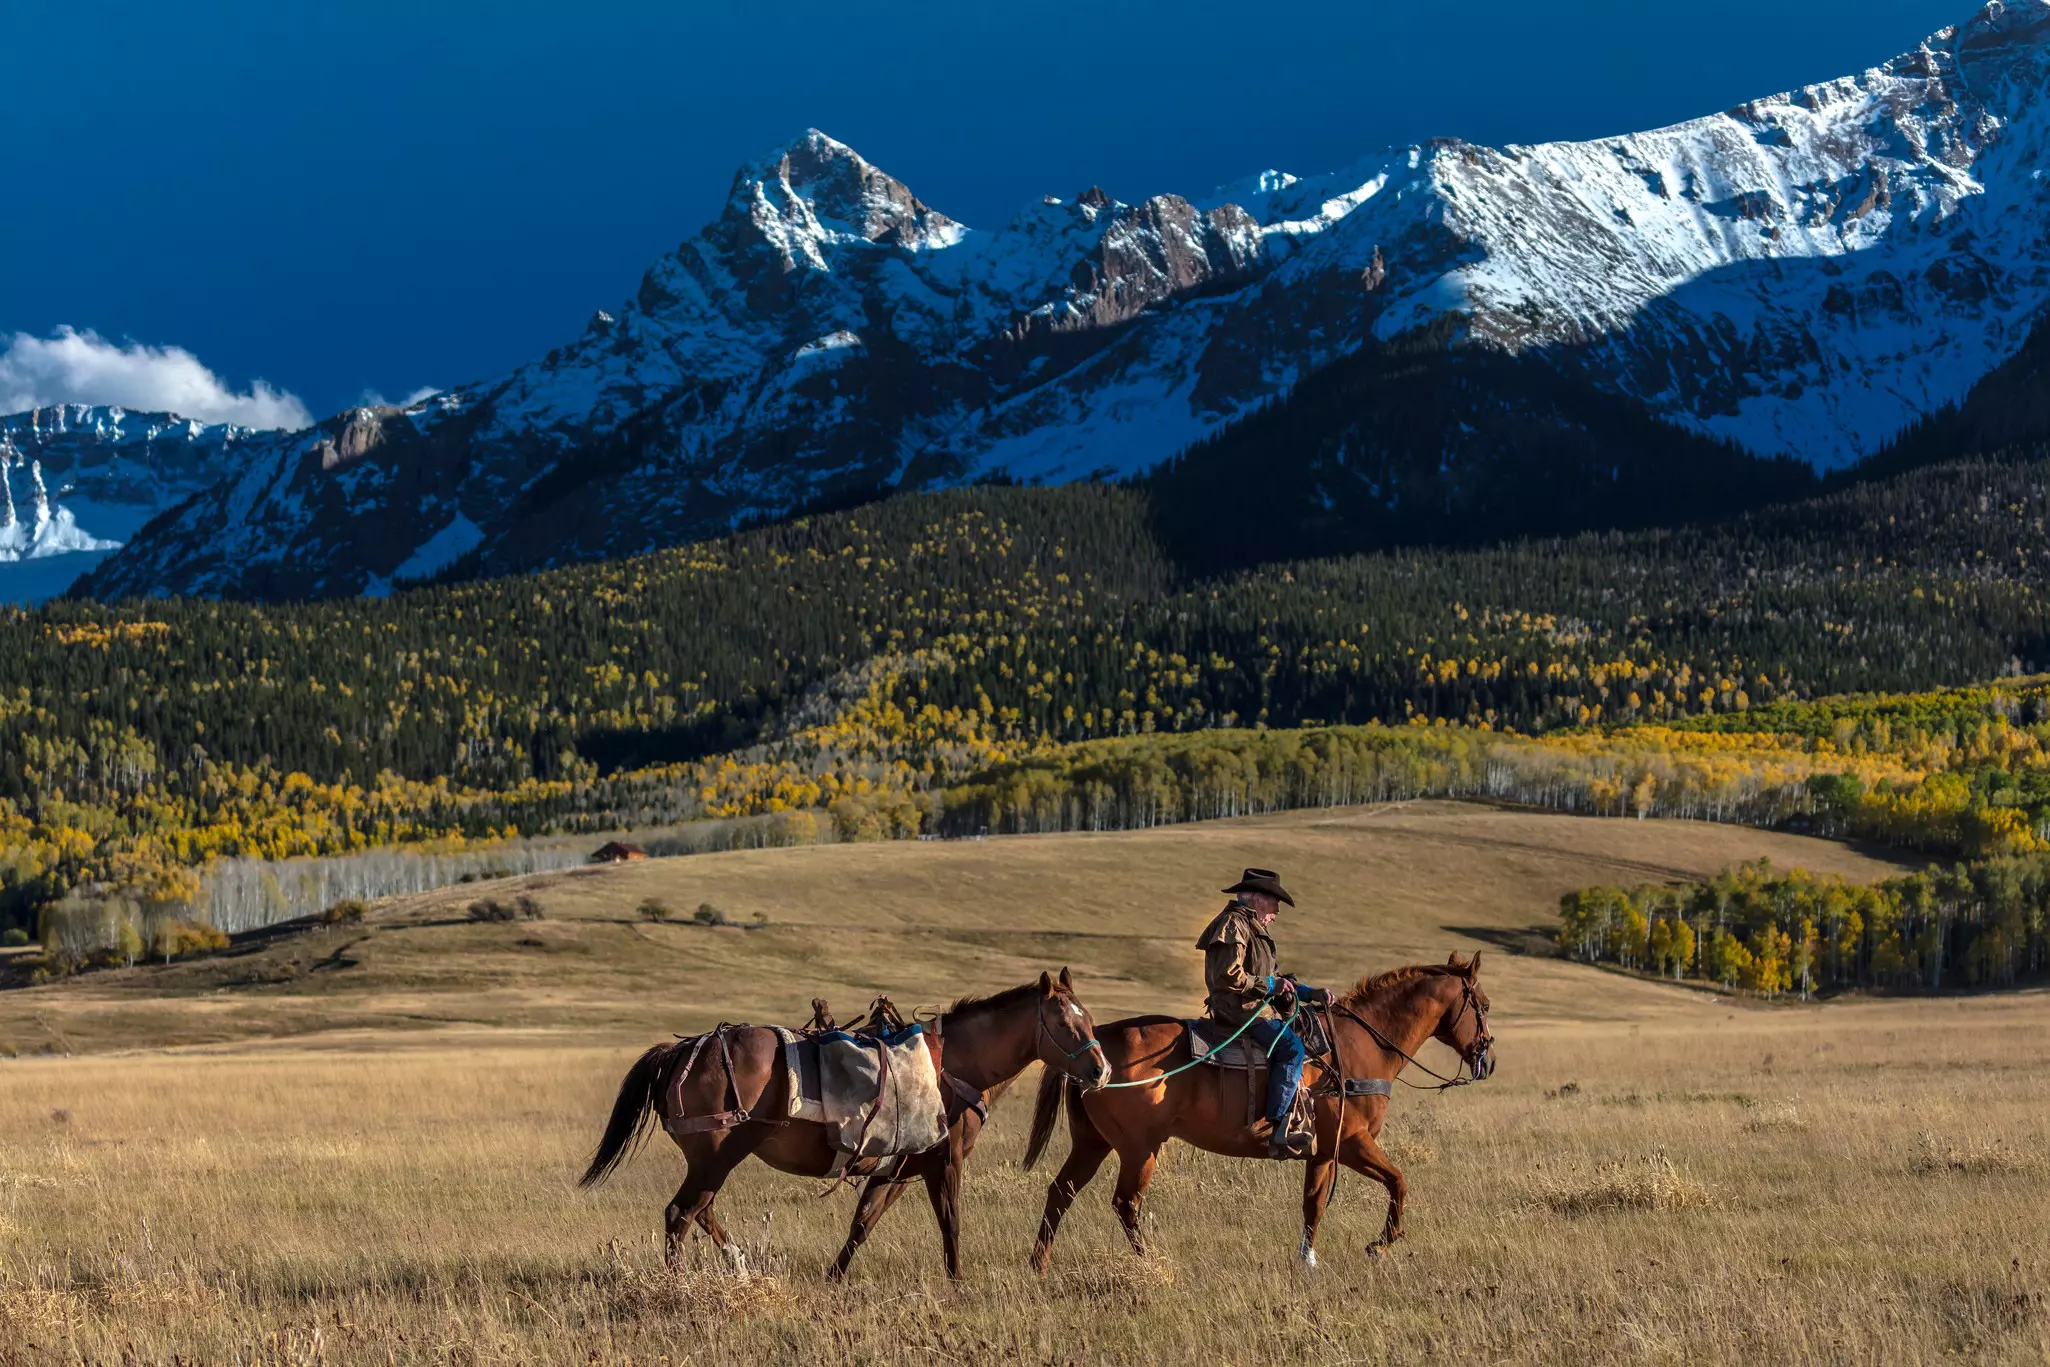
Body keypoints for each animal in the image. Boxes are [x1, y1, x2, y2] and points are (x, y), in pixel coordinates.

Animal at [580, 968, 1110, 1280]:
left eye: (1089, 1017)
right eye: (1063, 1023)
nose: (1101, 1070)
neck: (953, 1063)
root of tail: (686, 1050)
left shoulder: (900, 1169)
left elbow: (863, 1223)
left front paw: (834, 1278)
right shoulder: (945, 1161)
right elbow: (952, 1225)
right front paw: (958, 1283)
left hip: (714, 1161)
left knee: (700, 1211)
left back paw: (740, 1264)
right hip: (717, 1157)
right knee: (681, 1214)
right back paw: (680, 1283)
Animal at [1024, 952, 1493, 1271]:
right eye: (1484, 1005)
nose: (1487, 1060)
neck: (1361, 1046)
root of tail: (1097, 1041)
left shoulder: (1322, 1153)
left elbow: (1313, 1205)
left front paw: (1308, 1260)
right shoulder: (1352, 1143)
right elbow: (1398, 1182)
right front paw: (1379, 1244)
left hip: (1093, 1143)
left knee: (1061, 1192)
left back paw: (1039, 1263)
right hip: (1140, 1150)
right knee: (1125, 1203)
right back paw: (1150, 1261)